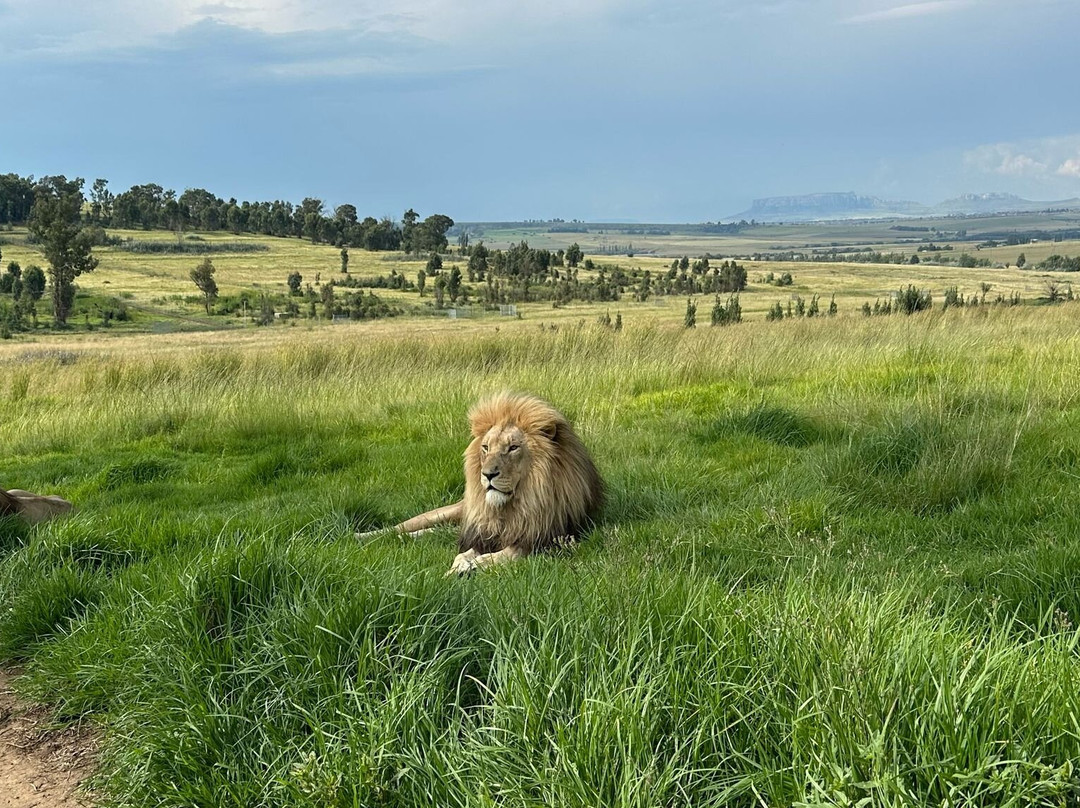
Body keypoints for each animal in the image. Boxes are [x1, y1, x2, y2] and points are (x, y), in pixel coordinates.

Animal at [358, 392, 604, 576]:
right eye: (486, 448)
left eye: (513, 448)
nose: (487, 475)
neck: (511, 507)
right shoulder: (479, 534)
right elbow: (463, 553)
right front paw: (458, 567)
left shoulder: (547, 539)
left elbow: (504, 555)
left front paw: (471, 567)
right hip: (451, 512)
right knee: (404, 526)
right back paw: (361, 536)